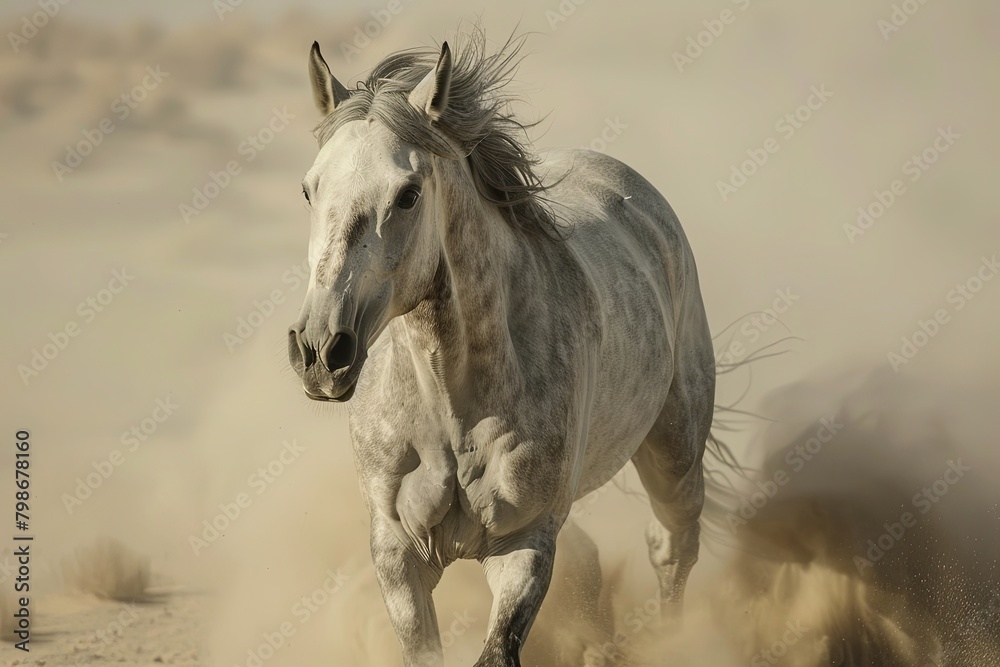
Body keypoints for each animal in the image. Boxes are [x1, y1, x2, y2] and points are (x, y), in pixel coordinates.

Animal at [287, 31, 718, 667]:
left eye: (408, 194)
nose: (321, 351)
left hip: (675, 450)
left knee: (672, 548)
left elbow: (497, 649)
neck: (449, 406)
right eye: (309, 187)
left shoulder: (524, 545)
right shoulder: (397, 553)